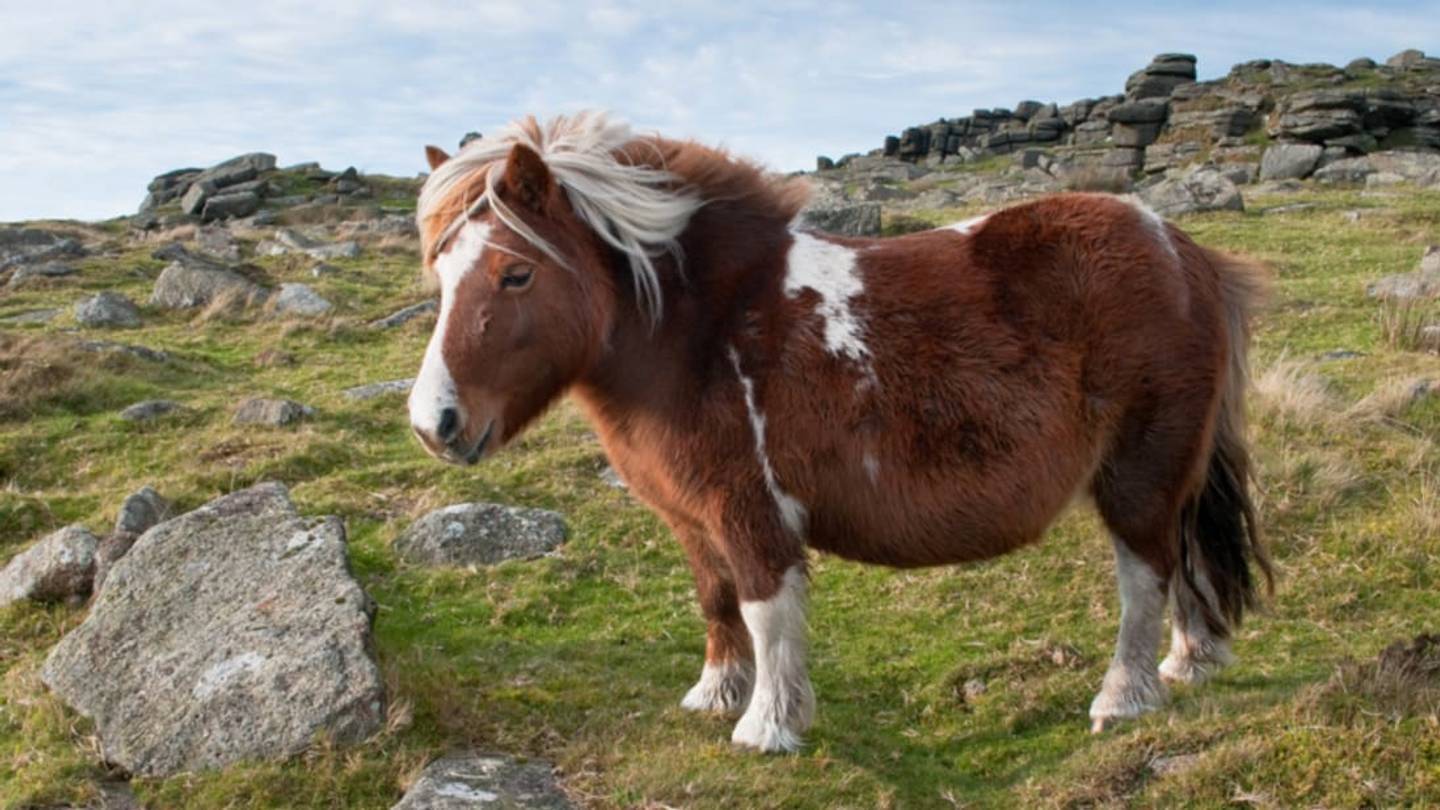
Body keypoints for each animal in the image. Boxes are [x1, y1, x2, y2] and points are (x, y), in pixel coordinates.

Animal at [406, 111, 1273, 753]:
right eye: (441, 274)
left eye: (516, 273)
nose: (433, 424)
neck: (701, 329)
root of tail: (1184, 251)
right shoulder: (693, 517)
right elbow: (715, 598)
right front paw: (717, 693)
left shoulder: (750, 509)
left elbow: (764, 608)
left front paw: (767, 726)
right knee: (1183, 566)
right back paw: (1191, 662)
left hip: (1140, 472)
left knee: (1145, 576)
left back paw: (1124, 698)